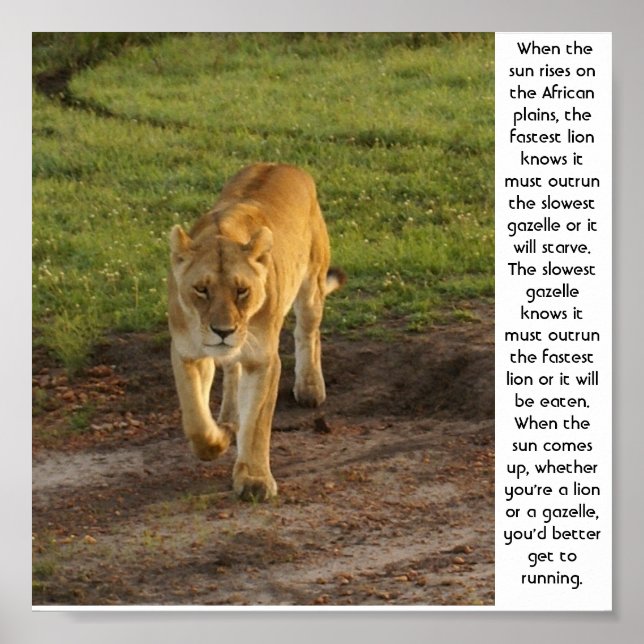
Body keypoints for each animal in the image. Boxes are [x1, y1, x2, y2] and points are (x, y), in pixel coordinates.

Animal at [168, 163, 345, 501]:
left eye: (242, 291)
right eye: (201, 290)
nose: (223, 331)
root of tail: (282, 164)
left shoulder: (263, 359)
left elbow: (258, 424)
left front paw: (254, 480)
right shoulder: (187, 353)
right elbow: (196, 417)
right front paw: (217, 441)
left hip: (312, 285)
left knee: (307, 332)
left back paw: (309, 387)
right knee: (231, 371)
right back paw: (229, 419)